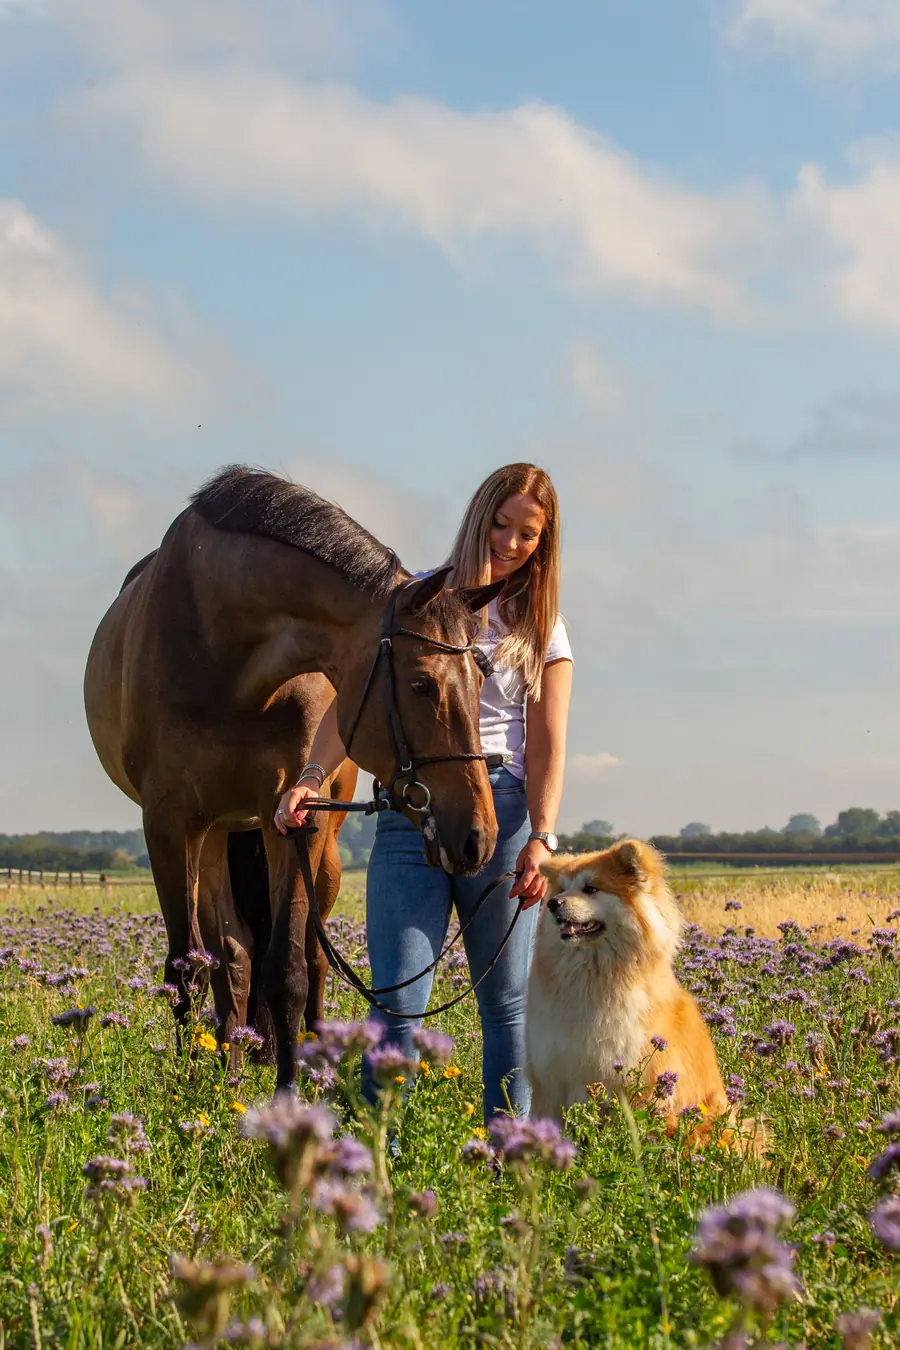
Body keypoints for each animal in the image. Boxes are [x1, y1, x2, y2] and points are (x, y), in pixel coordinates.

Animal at [84, 465, 504, 1087]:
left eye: (481, 680)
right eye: (422, 683)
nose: (478, 837)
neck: (222, 652)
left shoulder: (294, 817)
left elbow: (286, 969)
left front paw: (289, 1090)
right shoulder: (168, 822)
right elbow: (187, 964)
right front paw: (186, 1081)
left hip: (315, 852)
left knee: (307, 956)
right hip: (215, 833)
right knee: (230, 955)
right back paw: (228, 1065)